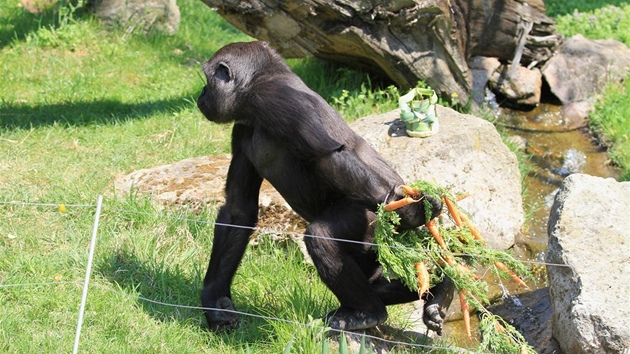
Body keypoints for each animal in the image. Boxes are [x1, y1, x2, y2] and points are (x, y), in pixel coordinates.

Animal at [198, 41, 454, 332]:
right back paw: (438, 291)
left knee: (322, 236)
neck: (254, 84)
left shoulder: (274, 97)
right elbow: (238, 211)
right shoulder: (241, 130)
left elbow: (328, 156)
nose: (201, 95)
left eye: (207, 80)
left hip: (376, 225)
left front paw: (412, 212)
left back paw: (369, 311)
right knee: (377, 282)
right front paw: (214, 300)